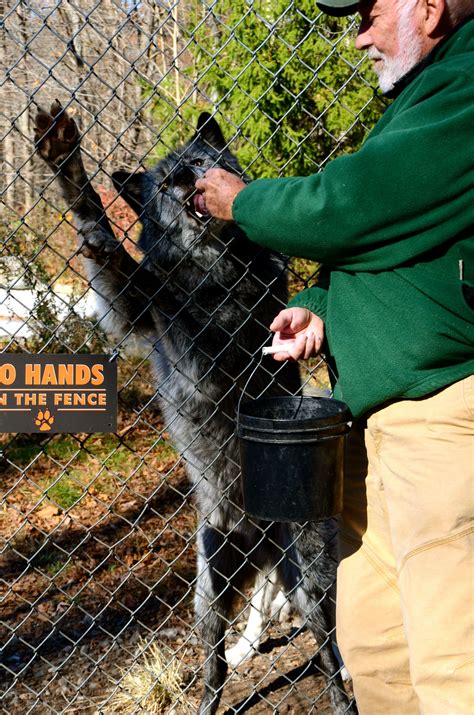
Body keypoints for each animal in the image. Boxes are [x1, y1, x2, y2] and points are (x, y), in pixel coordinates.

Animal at [35, 102, 354, 715]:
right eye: (165, 184)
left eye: (204, 161)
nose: (188, 179)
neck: (212, 269)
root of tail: (255, 536)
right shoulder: (141, 318)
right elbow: (136, 277)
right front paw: (75, 182)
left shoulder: (227, 330)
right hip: (209, 600)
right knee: (216, 665)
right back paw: (208, 703)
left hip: (308, 581)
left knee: (327, 648)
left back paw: (343, 696)